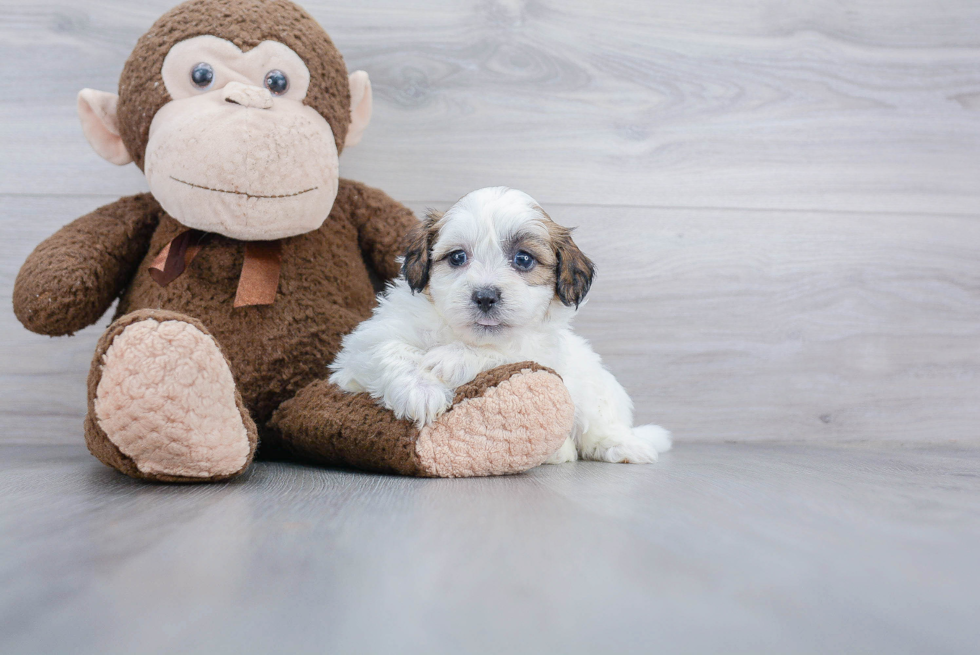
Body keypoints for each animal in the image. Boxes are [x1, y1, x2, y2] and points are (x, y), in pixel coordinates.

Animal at [334, 184, 668, 464]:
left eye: (523, 259)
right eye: (457, 257)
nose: (485, 296)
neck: (462, 334)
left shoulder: (539, 353)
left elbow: (504, 353)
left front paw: (451, 359)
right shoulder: (365, 343)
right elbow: (387, 350)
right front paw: (420, 391)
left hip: (597, 390)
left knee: (601, 424)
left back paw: (625, 446)